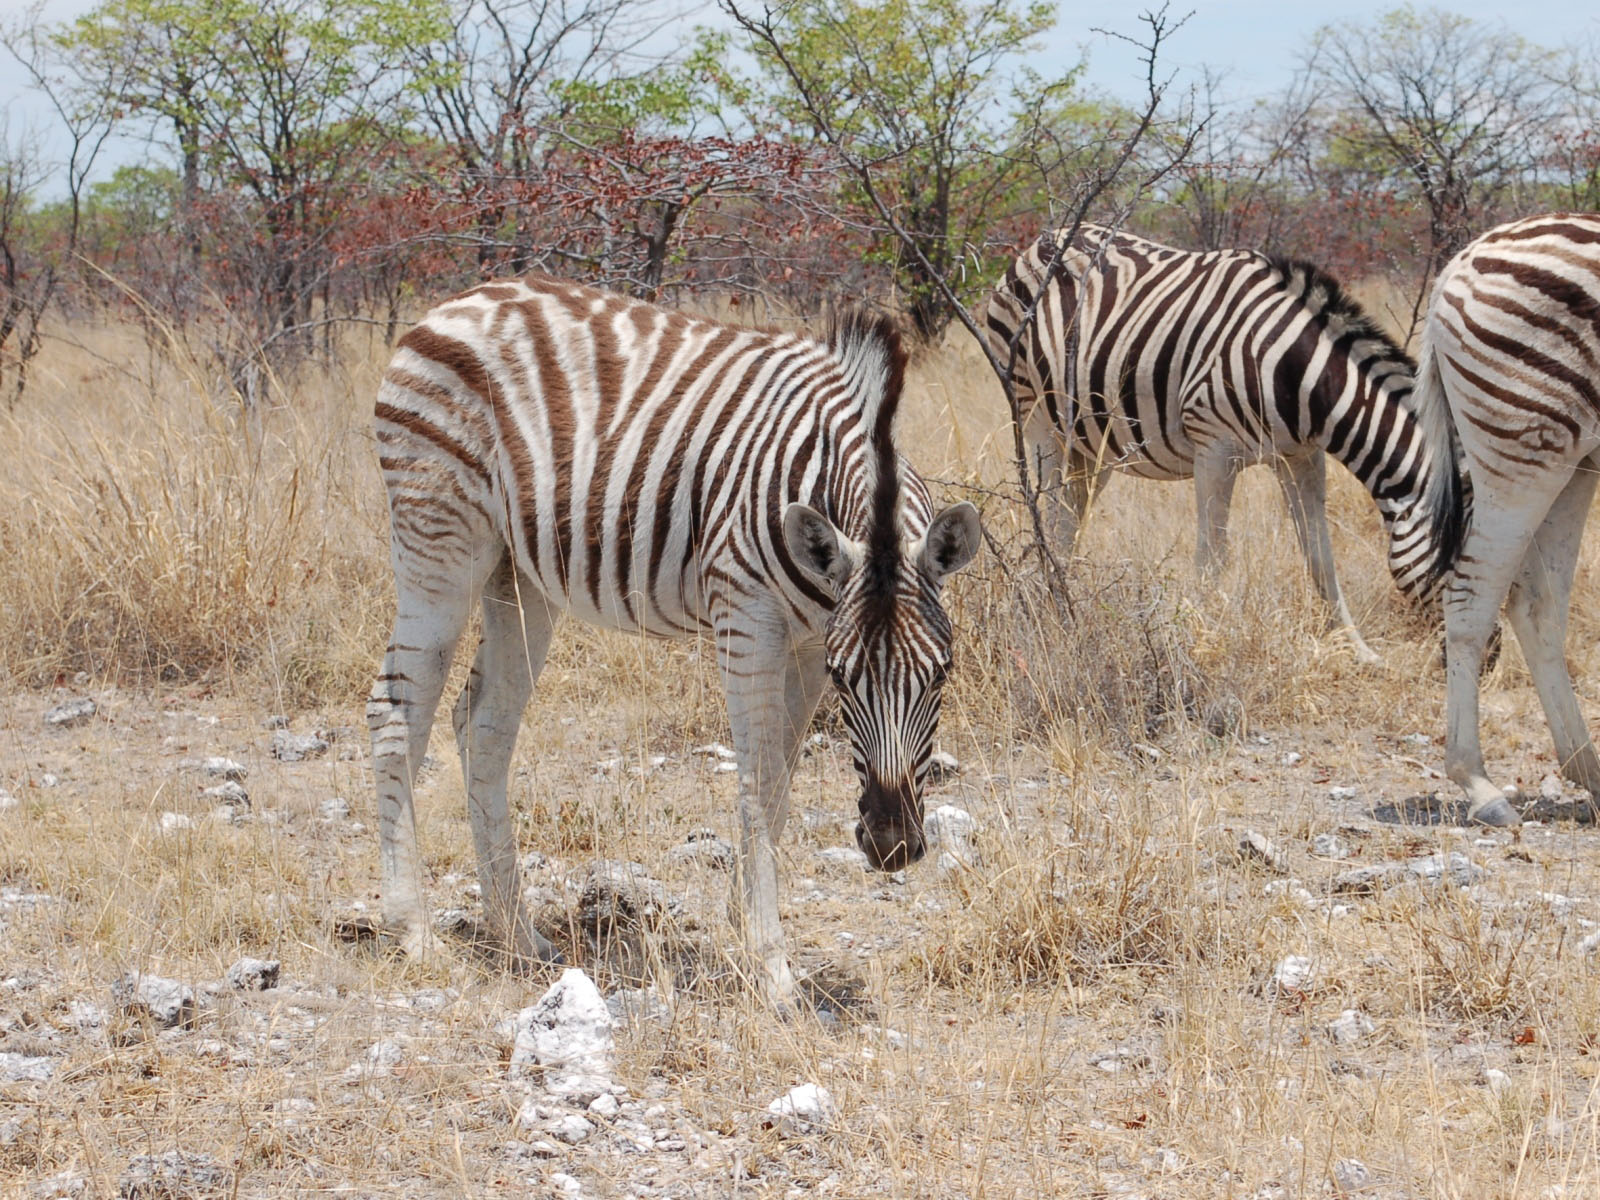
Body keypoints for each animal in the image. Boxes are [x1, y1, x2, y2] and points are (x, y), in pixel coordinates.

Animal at [366, 274, 982, 1005]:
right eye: (844, 677)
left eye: (942, 673)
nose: (890, 848)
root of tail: (455, 302)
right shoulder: (747, 615)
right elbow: (757, 779)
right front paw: (772, 970)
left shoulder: (806, 639)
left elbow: (781, 780)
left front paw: (744, 927)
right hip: (439, 544)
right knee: (396, 714)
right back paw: (413, 932)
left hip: (517, 576)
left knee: (483, 725)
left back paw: (517, 934)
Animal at [985, 224, 1465, 662]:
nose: (1472, 662)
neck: (1295, 371)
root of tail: (1040, 241)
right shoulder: (1213, 450)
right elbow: (1212, 560)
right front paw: (1197, 644)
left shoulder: (1302, 456)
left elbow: (1320, 556)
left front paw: (1358, 650)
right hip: (1037, 416)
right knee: (1047, 517)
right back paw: (1048, 611)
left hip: (1091, 442)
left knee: (1069, 520)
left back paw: (1064, 608)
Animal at [1422, 212, 1600, 827]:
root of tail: (1463, 257)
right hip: (1523, 454)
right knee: (1470, 596)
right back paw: (1478, 784)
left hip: (1573, 465)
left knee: (1536, 603)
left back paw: (1587, 769)